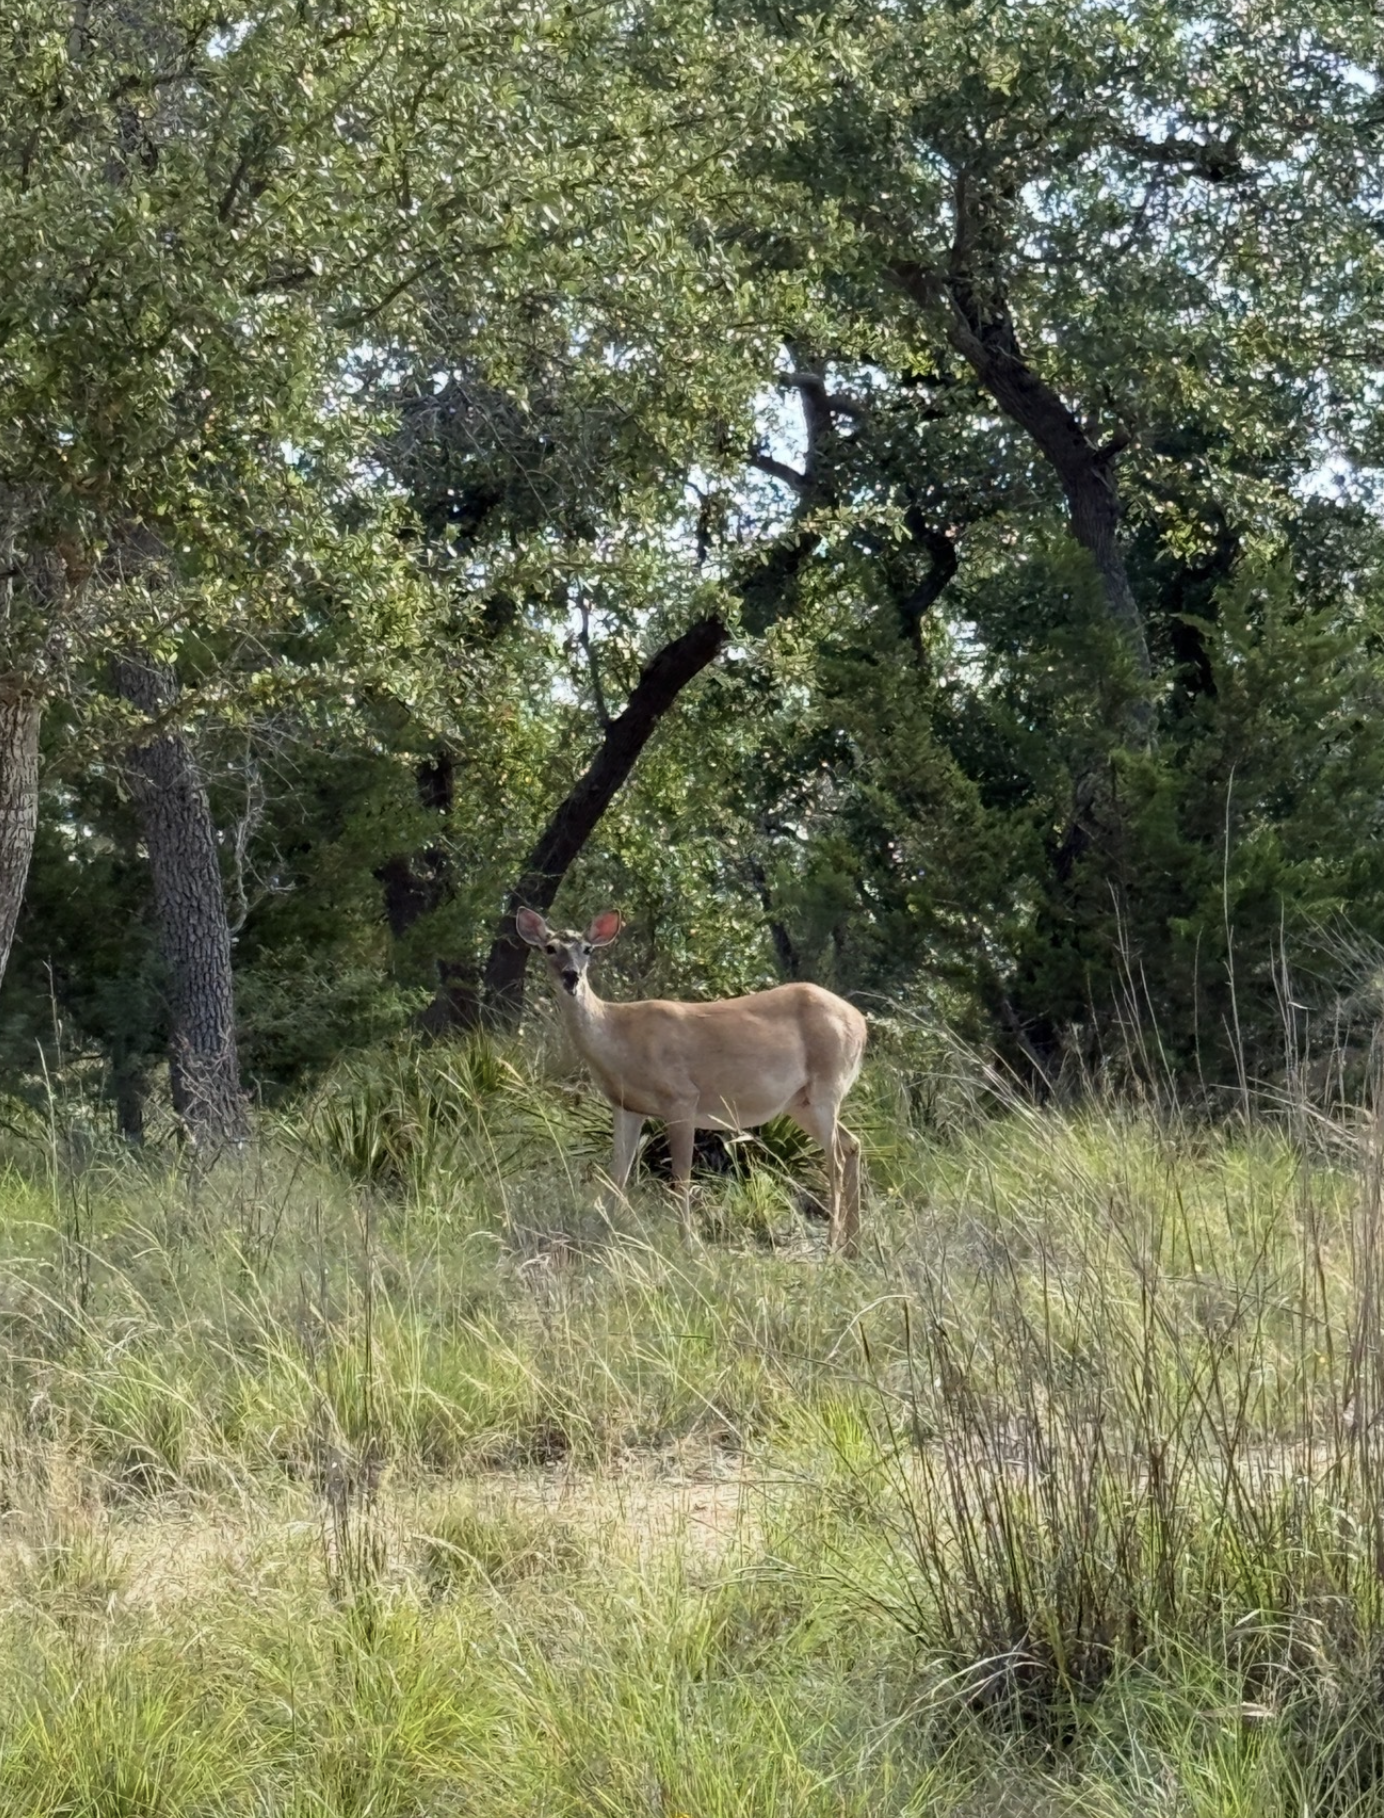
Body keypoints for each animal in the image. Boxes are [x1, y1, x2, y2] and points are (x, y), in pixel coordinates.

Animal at [516, 907, 868, 1256]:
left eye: (587, 949)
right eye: (550, 948)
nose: (571, 976)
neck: (618, 1037)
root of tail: (861, 1023)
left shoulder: (681, 1096)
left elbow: (681, 1176)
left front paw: (688, 1244)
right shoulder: (627, 1105)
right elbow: (619, 1172)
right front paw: (607, 1236)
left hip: (827, 1084)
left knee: (835, 1158)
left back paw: (832, 1245)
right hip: (800, 1102)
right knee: (852, 1143)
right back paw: (853, 1246)